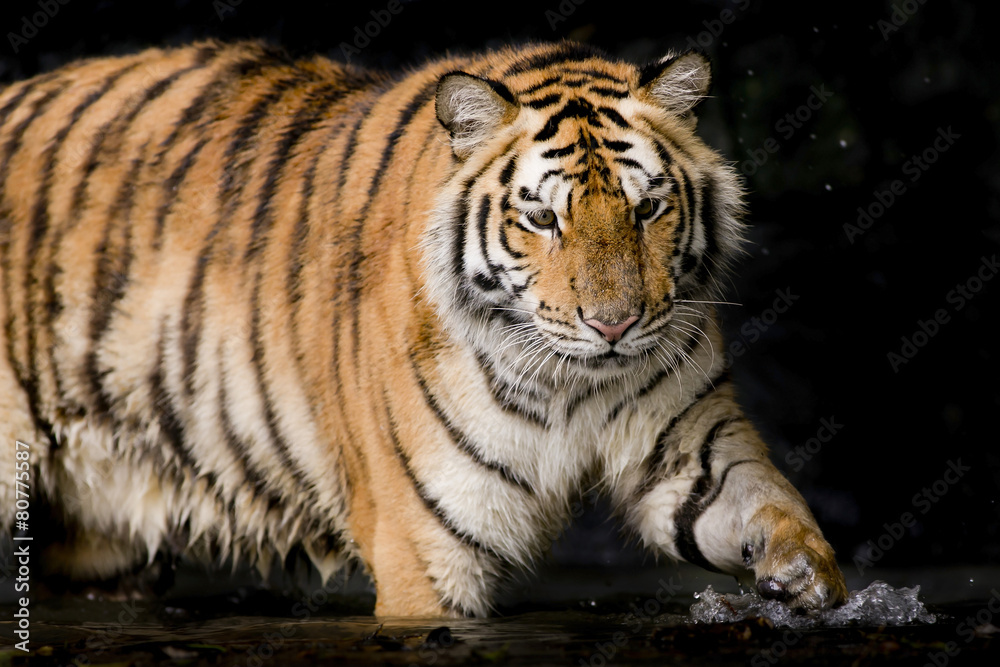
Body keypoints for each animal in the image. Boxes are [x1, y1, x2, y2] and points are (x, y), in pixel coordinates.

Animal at [0, 40, 848, 617]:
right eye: (544, 218)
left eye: (647, 208)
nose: (614, 325)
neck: (573, 380)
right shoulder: (426, 546)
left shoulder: (691, 443)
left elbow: (766, 501)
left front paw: (810, 579)